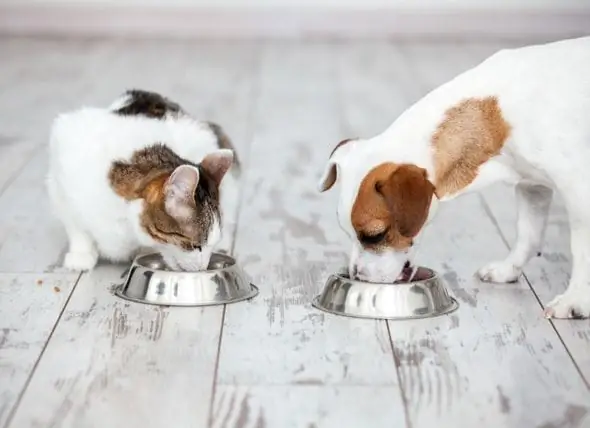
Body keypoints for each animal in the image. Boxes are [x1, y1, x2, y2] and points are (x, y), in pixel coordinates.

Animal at [46, 90, 240, 270]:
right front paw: (81, 254)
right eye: (195, 246)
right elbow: (76, 226)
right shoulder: (61, 170)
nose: (203, 268)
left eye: (210, 246)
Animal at [320, 36, 590, 318]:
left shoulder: (579, 191)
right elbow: (528, 234)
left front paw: (576, 299)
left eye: (375, 236)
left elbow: (582, 249)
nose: (357, 277)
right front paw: (508, 269)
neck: (495, 115)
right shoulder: (532, 186)